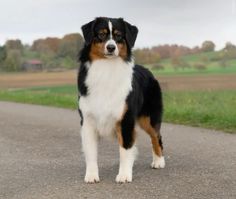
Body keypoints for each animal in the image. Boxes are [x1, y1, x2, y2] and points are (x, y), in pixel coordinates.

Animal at [78, 17, 165, 183]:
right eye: (101, 34)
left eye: (118, 36)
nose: (111, 47)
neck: (106, 68)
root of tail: (147, 70)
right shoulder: (88, 121)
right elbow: (91, 152)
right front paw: (91, 175)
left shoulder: (126, 119)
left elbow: (125, 149)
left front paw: (124, 175)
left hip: (148, 118)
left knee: (156, 136)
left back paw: (159, 162)